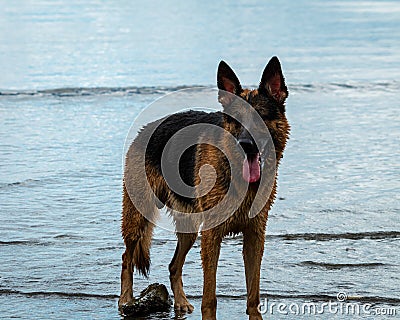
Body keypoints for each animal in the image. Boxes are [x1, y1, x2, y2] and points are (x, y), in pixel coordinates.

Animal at [117, 56, 290, 318]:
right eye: (235, 120)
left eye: (260, 116)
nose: (245, 145)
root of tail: (144, 130)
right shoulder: (211, 237)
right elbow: (210, 295)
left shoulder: (254, 237)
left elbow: (253, 293)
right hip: (138, 219)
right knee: (127, 258)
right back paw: (125, 300)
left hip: (189, 230)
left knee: (173, 265)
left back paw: (179, 301)